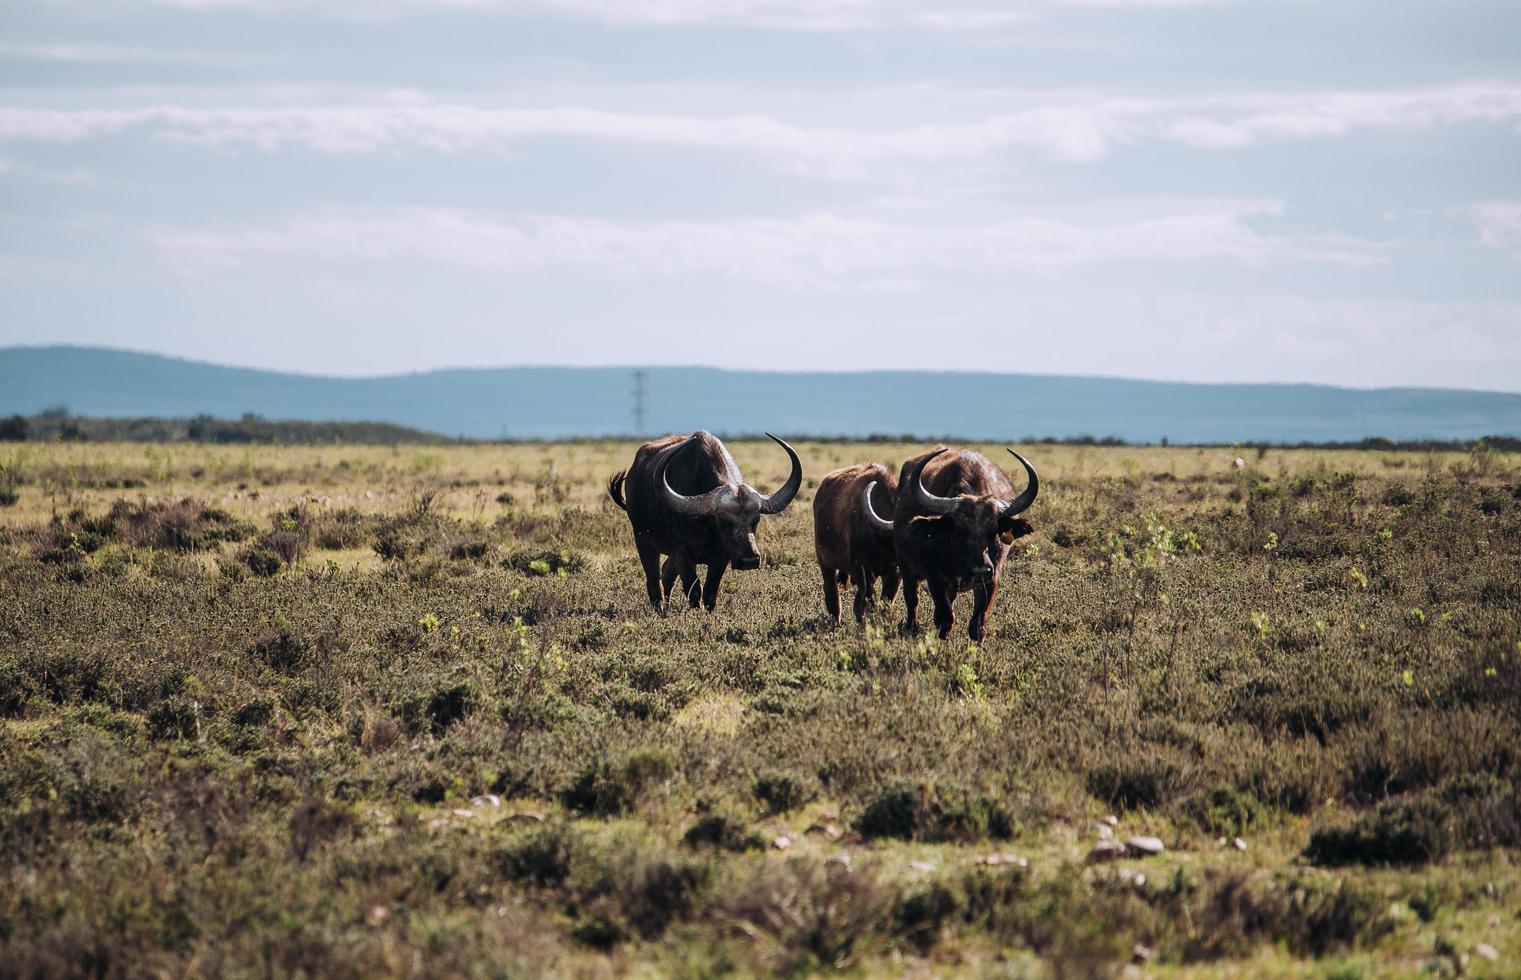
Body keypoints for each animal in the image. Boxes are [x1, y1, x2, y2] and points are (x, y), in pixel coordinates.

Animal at [605, 432, 803, 611]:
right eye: (723, 522)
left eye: (756, 520)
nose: (750, 560)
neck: (705, 527)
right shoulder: (682, 554)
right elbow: (693, 590)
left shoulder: (721, 557)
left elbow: (710, 591)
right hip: (643, 540)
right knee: (654, 581)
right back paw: (660, 609)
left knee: (666, 575)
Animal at [815, 462, 894, 623]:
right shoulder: (860, 567)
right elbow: (865, 599)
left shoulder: (894, 572)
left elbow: (885, 600)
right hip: (824, 561)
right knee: (831, 591)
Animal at [863, 447, 1040, 642]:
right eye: (959, 531)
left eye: (993, 531)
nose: (980, 570)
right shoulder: (935, 578)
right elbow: (945, 617)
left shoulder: (991, 579)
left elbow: (978, 624)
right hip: (905, 569)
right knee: (912, 599)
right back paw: (911, 628)